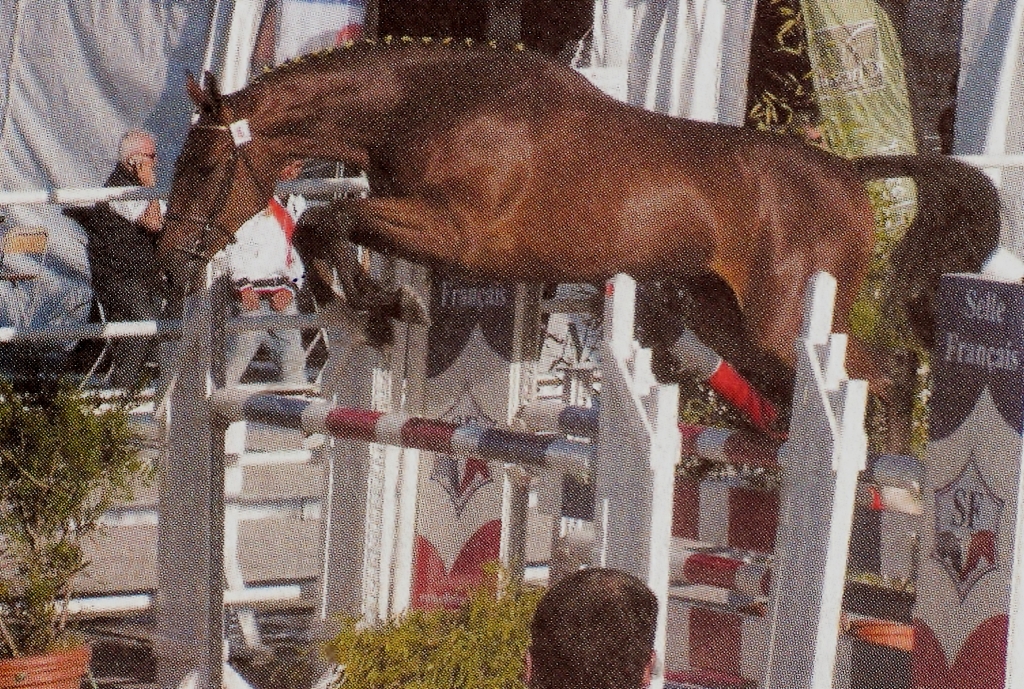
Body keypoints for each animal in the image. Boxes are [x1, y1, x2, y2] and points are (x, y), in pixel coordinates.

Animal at [157, 44, 999, 450]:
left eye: (202, 164)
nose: (171, 266)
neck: (420, 105)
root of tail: (850, 172)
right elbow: (323, 228)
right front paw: (367, 308)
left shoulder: (458, 232)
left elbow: (326, 222)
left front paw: (381, 303)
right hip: (727, 319)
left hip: (783, 320)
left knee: (887, 375)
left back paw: (894, 496)